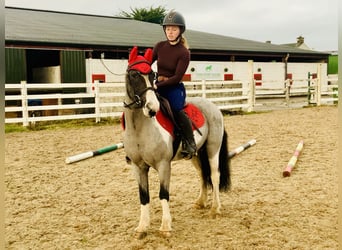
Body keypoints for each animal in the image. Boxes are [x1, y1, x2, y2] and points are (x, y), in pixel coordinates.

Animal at [122, 47, 230, 238]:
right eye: (134, 75)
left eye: (152, 75)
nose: (152, 108)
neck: (139, 128)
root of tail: (214, 107)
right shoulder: (138, 166)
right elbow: (144, 196)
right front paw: (142, 227)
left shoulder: (164, 165)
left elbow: (163, 194)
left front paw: (165, 227)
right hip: (196, 154)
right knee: (203, 174)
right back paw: (200, 202)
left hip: (212, 150)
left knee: (214, 175)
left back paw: (215, 209)